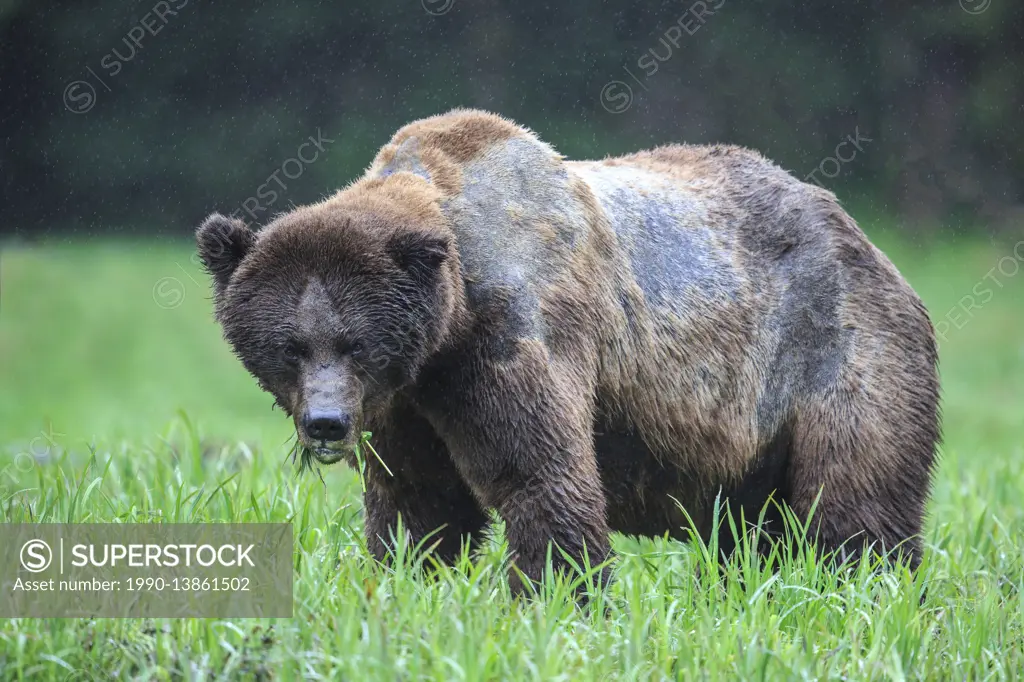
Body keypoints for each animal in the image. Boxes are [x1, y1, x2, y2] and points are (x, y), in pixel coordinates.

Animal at [195, 109, 937, 585]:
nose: (325, 423)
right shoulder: (406, 402)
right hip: (749, 446)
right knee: (750, 533)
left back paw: (865, 590)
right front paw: (406, 579)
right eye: (289, 345)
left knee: (853, 509)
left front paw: (560, 594)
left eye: (355, 344)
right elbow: (419, 502)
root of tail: (859, 233)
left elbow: (538, 472)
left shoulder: (516, 329)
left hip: (832, 352)